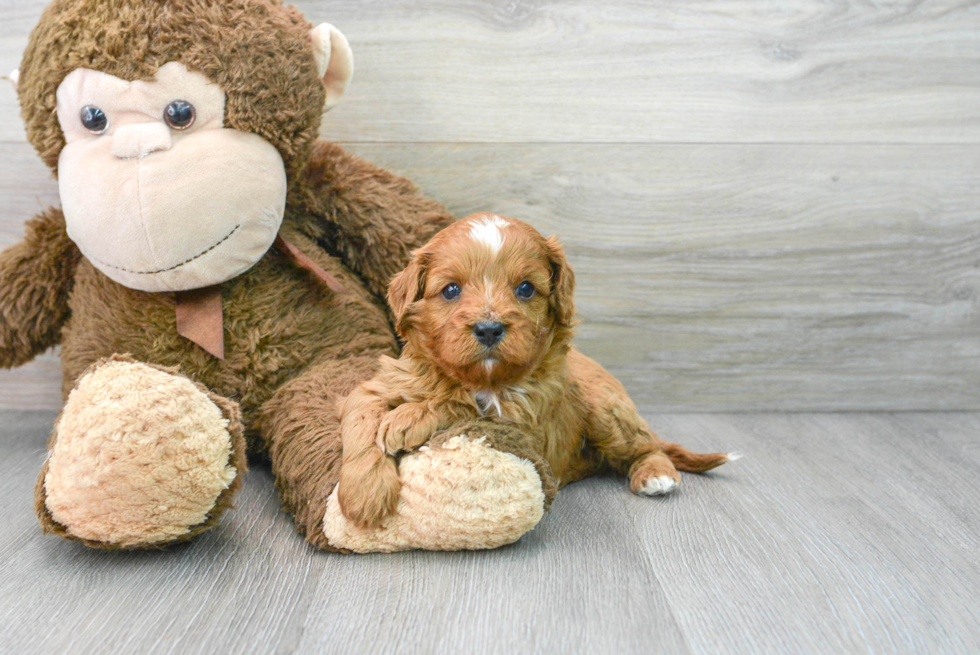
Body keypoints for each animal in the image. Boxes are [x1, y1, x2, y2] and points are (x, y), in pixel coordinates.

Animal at [336, 213, 736, 532]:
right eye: (450, 290)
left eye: (526, 288)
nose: (489, 329)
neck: (477, 377)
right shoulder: (381, 384)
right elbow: (361, 419)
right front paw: (363, 495)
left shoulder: (524, 419)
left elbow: (464, 405)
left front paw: (408, 419)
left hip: (606, 410)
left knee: (648, 446)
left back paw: (656, 475)